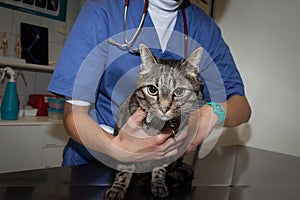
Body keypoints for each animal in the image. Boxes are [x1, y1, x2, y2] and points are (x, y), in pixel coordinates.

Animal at [103, 43, 204, 200]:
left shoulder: (167, 151)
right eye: (152, 89)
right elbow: (124, 168)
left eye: (179, 91)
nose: (164, 107)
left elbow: (160, 168)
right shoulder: (127, 142)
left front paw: (158, 184)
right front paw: (118, 188)